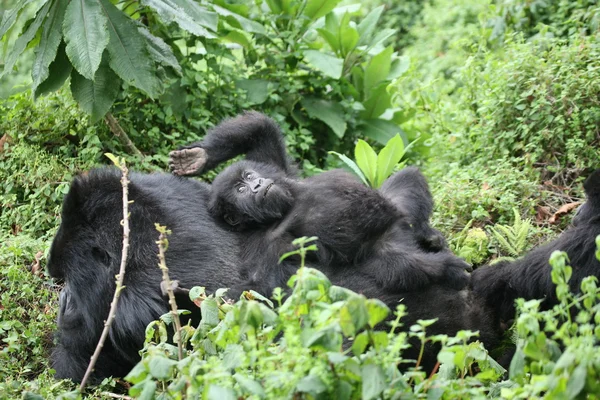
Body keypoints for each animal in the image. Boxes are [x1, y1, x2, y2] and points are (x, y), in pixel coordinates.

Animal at [170, 111, 474, 296]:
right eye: (241, 191)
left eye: (247, 177)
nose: (257, 185)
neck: (281, 210)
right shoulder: (267, 246)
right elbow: (263, 284)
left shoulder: (275, 168)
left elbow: (260, 129)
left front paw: (200, 157)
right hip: (382, 251)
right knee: (402, 265)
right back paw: (446, 269)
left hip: (398, 215)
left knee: (407, 182)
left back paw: (426, 232)